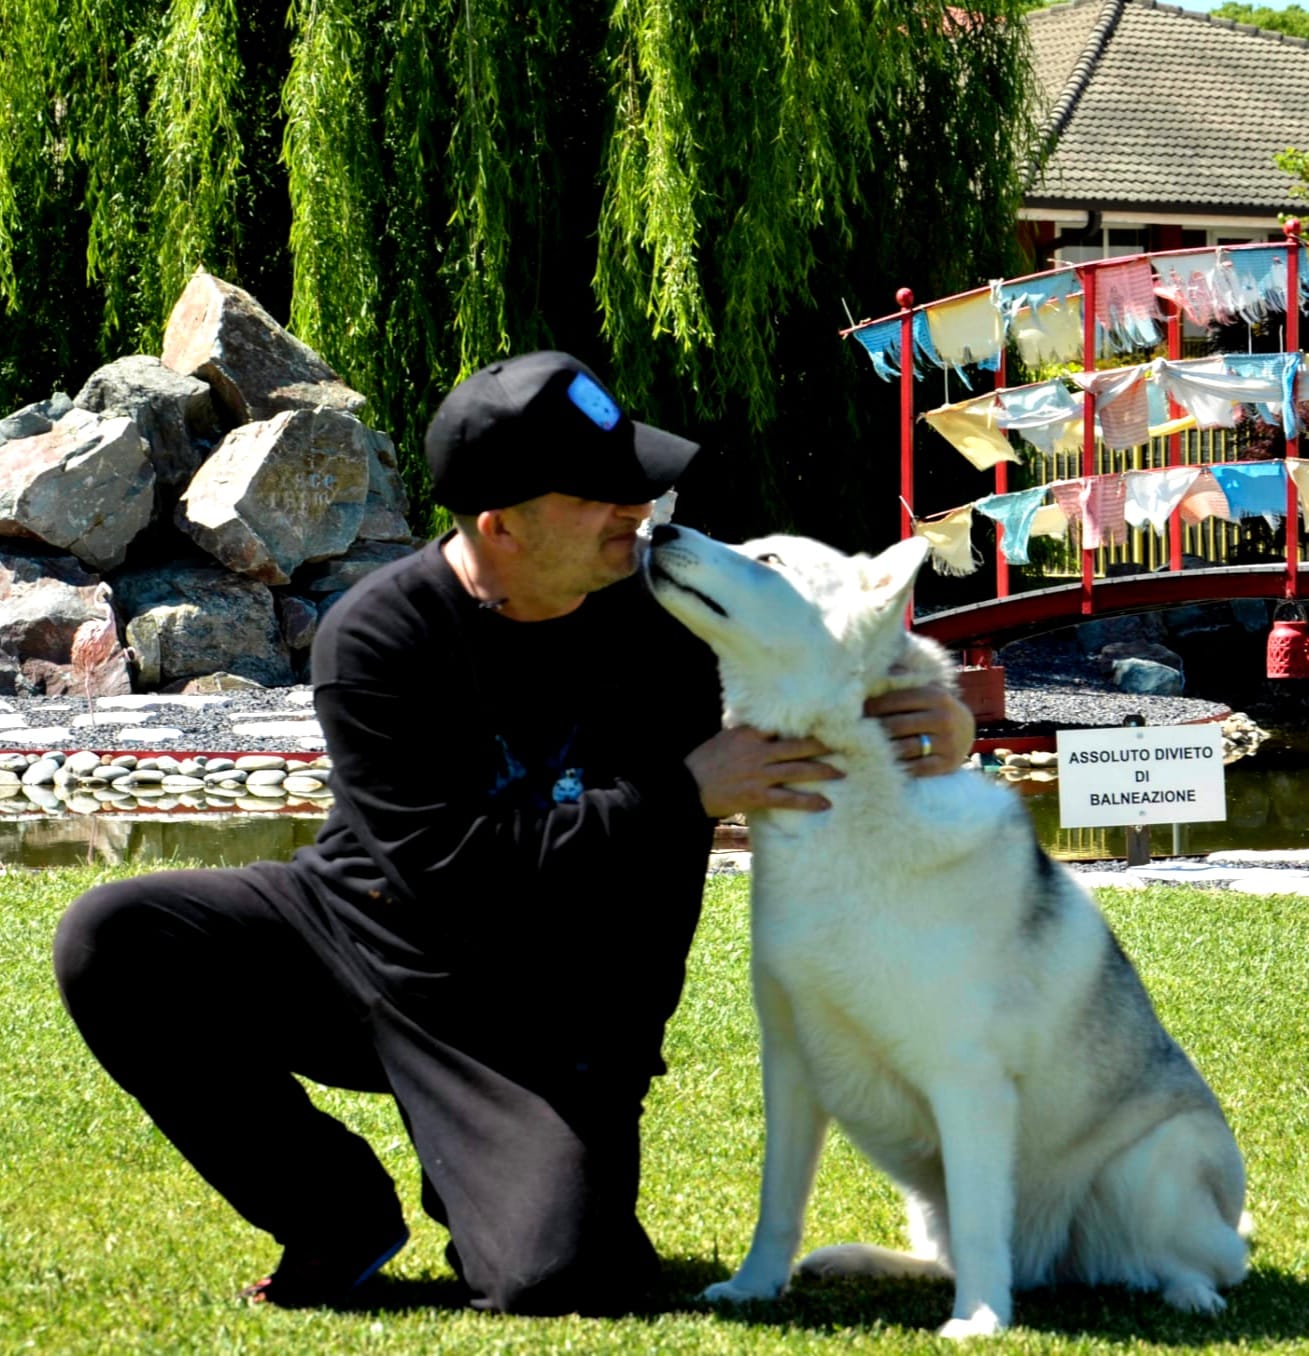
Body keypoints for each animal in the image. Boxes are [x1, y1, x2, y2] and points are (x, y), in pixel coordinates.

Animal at [645, 526, 1247, 1334]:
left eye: (769, 560)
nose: (660, 529)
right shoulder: (791, 1067)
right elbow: (778, 1204)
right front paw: (752, 1286)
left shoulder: (968, 1082)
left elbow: (981, 1221)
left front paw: (982, 1321)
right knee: (952, 1250)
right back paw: (859, 1260)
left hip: (1152, 1166)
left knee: (1196, 1261)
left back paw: (1189, 1292)